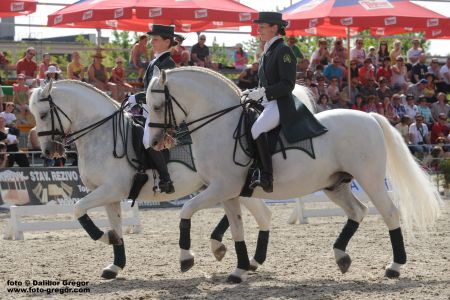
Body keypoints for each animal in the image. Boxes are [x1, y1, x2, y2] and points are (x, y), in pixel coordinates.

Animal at [28, 79, 282, 278]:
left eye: (43, 114)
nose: (48, 151)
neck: (101, 134)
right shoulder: (110, 196)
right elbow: (116, 226)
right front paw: (115, 264)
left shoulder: (110, 190)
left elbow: (79, 209)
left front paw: (105, 237)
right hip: (228, 186)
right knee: (262, 214)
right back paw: (247, 259)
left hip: (227, 184)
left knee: (258, 214)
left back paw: (232, 253)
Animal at [147, 66, 442, 284]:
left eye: (158, 106)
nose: (153, 143)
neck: (219, 124)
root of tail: (370, 117)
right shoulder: (228, 193)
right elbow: (237, 228)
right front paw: (237, 268)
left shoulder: (221, 188)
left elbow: (186, 210)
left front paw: (186, 258)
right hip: (335, 184)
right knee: (358, 211)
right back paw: (341, 256)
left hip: (369, 179)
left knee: (389, 213)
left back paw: (395, 266)